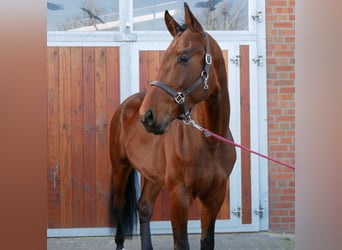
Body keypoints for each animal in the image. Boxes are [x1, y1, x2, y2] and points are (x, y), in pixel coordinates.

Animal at [109, 2, 235, 250]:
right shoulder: (179, 197)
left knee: (144, 208)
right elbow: (181, 243)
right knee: (119, 208)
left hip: (152, 176)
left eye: (183, 57)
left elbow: (207, 240)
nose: (147, 116)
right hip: (120, 168)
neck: (210, 142)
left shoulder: (214, 197)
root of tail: (126, 106)